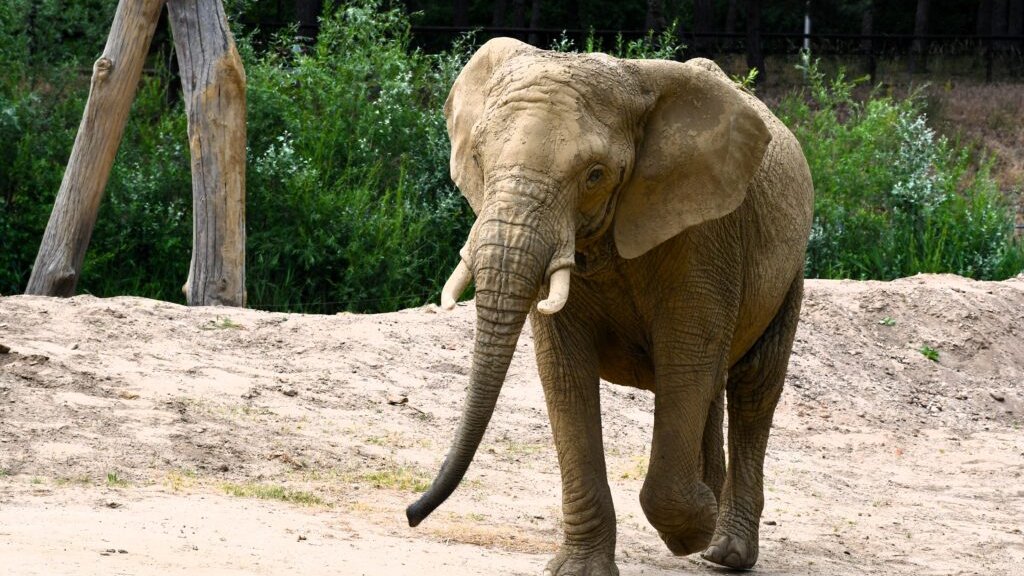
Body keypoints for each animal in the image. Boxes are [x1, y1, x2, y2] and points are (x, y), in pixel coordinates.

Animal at [403, 38, 811, 569]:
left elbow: (687, 358)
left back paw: (723, 551)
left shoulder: (706, 235)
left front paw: (694, 527)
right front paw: (580, 569)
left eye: (595, 175)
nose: (411, 514)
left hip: (789, 269)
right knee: (716, 386)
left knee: (753, 386)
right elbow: (564, 369)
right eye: (477, 157)